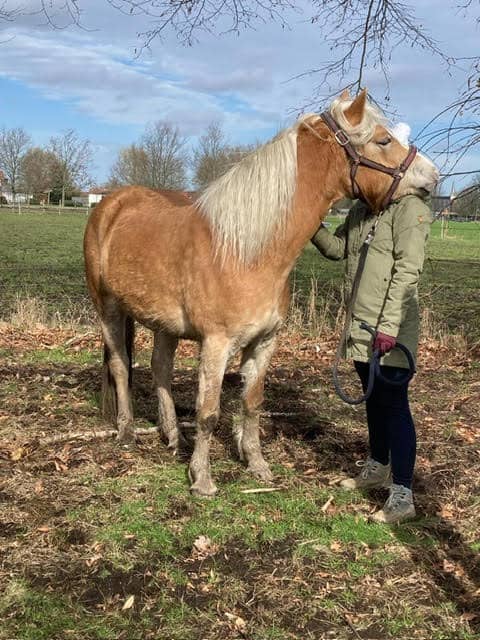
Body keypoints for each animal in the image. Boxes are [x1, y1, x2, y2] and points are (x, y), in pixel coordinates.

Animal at [84, 90, 438, 496]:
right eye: (383, 140)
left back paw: (173, 436)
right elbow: (208, 413)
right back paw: (126, 431)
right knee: (121, 365)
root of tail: (112, 203)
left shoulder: (265, 342)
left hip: (165, 323)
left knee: (160, 369)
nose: (433, 176)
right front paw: (202, 479)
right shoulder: (217, 344)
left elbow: (252, 404)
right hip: (108, 308)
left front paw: (257, 464)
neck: (247, 251)